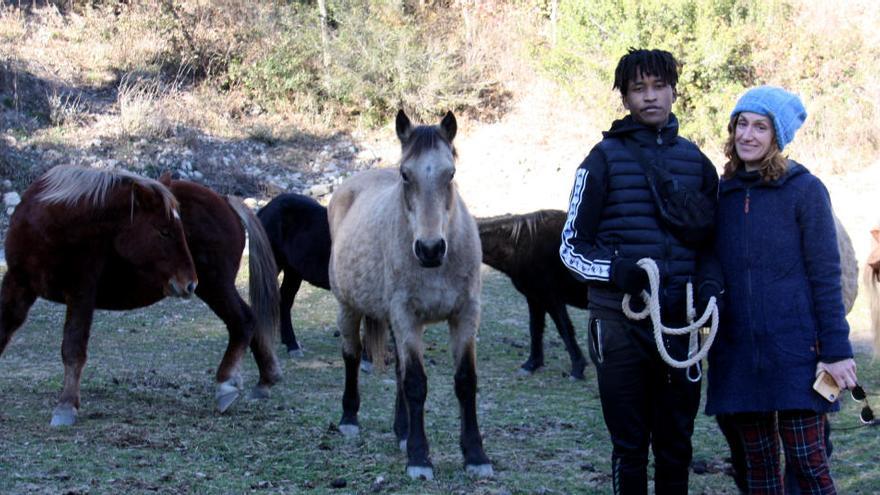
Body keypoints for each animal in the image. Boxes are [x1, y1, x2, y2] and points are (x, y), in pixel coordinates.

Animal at [1, 167, 198, 426]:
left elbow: (73, 348)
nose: (191, 284)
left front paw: (65, 406)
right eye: (164, 231)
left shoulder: (81, 293)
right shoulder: (17, 283)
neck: (49, 229)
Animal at [330, 111, 492, 480]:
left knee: (398, 371)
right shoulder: (407, 316)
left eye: (451, 173)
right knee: (351, 355)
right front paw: (420, 458)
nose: (430, 249)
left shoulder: (465, 315)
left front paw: (475, 455)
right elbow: (416, 382)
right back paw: (349, 420)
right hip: (348, 308)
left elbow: (465, 381)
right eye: (406, 174)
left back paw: (402, 432)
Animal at [478, 209, 588, 380]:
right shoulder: (535, 299)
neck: (520, 245)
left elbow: (565, 329)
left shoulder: (552, 299)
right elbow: (535, 329)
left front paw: (577, 368)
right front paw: (532, 364)